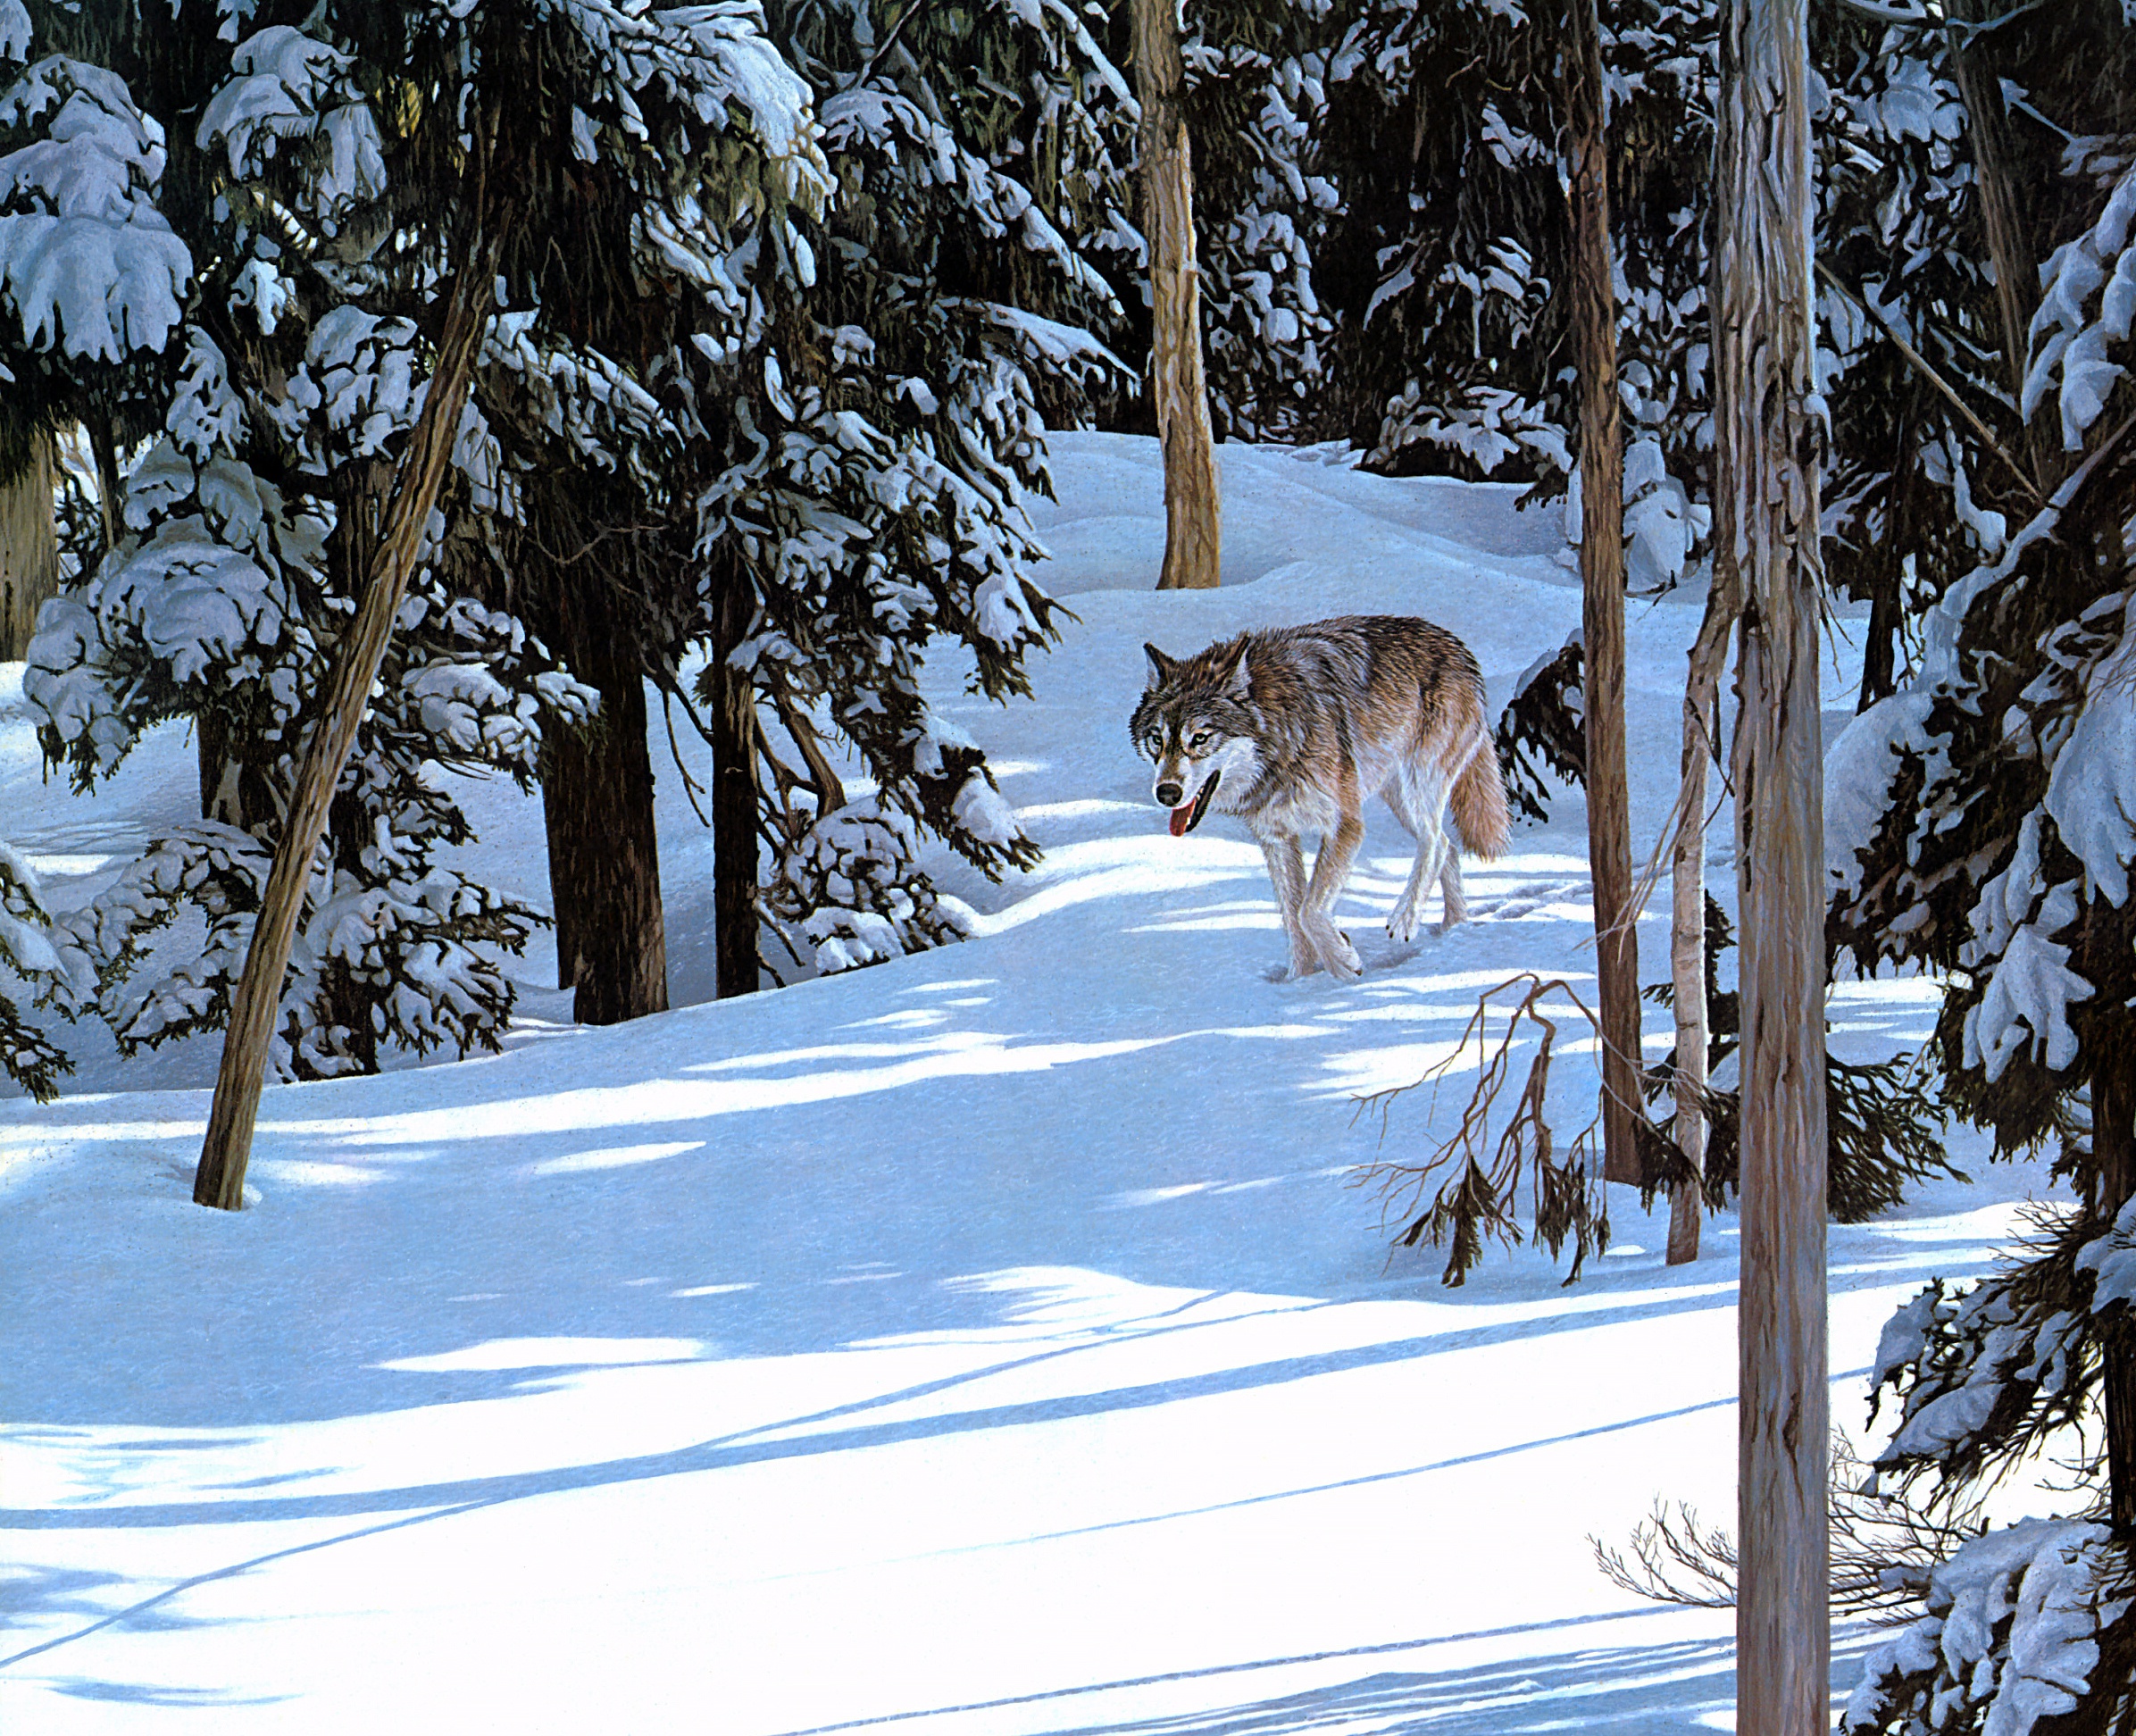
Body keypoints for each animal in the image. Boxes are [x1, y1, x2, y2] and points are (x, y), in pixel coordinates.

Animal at [1127, 619, 1512, 973]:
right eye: (1157, 739)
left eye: (1200, 738)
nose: (1166, 793)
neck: (1280, 739)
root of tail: (1455, 644)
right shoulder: (1277, 838)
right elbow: (1293, 918)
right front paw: (1302, 981)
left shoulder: (1345, 825)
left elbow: (1308, 911)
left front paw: (1342, 964)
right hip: (1399, 797)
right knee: (1449, 847)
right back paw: (1455, 927)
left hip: (1416, 785)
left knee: (1435, 843)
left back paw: (1405, 920)